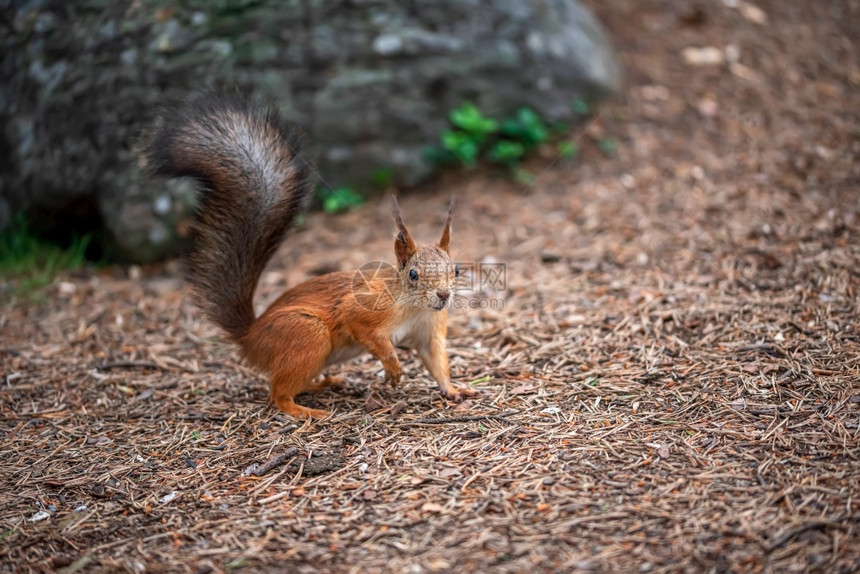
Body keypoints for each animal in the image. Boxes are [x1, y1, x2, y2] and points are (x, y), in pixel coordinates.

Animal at [142, 92, 478, 420]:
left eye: (456, 271)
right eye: (413, 274)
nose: (444, 295)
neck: (414, 309)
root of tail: (251, 338)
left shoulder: (429, 333)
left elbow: (436, 363)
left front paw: (454, 390)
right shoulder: (364, 308)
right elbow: (369, 333)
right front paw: (393, 368)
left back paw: (327, 383)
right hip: (308, 335)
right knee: (277, 393)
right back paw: (305, 411)